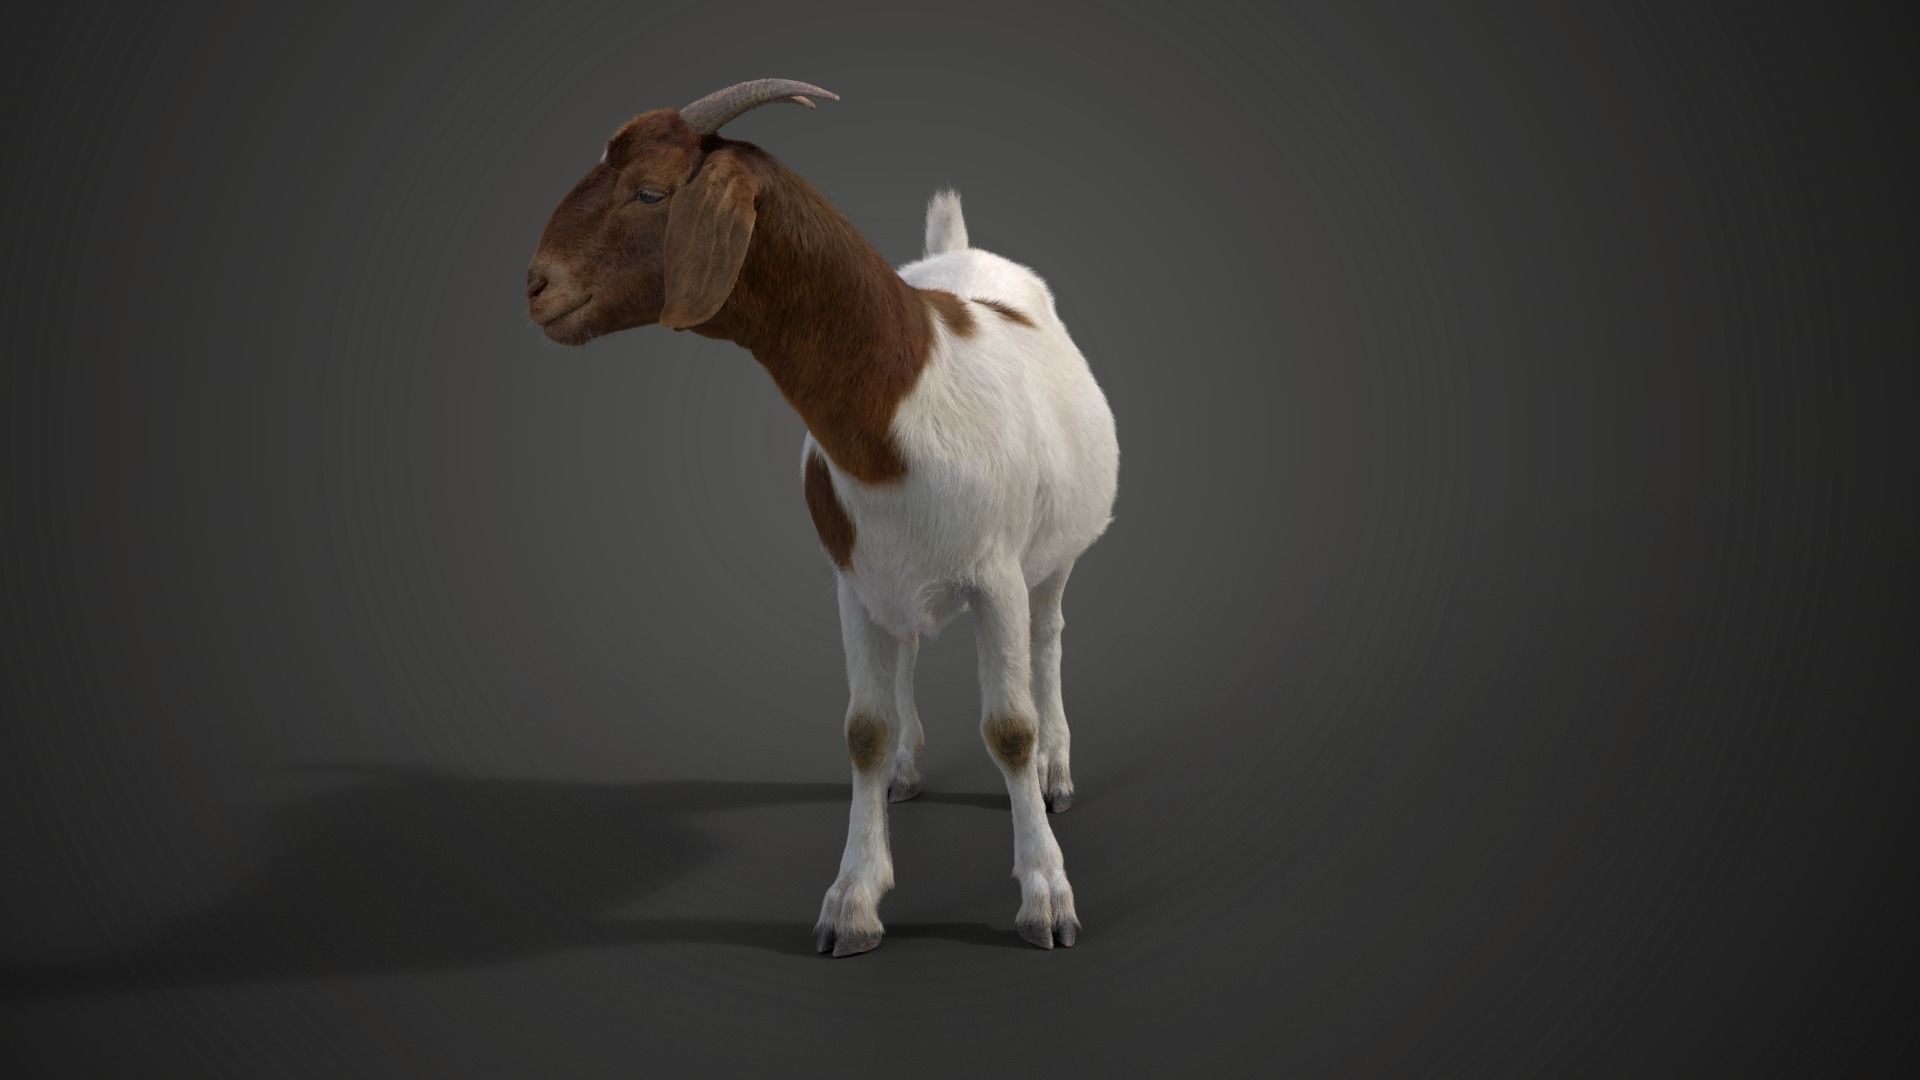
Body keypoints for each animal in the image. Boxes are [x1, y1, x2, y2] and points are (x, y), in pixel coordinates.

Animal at [524, 79, 1119, 955]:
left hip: (1051, 558)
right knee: (908, 652)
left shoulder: (997, 578)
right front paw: (854, 900)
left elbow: (1010, 727)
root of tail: (966, 251)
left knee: (1048, 642)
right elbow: (863, 730)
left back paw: (1056, 777)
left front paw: (1046, 897)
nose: (535, 286)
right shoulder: (853, 580)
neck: (899, 407)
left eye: (651, 193)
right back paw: (909, 771)